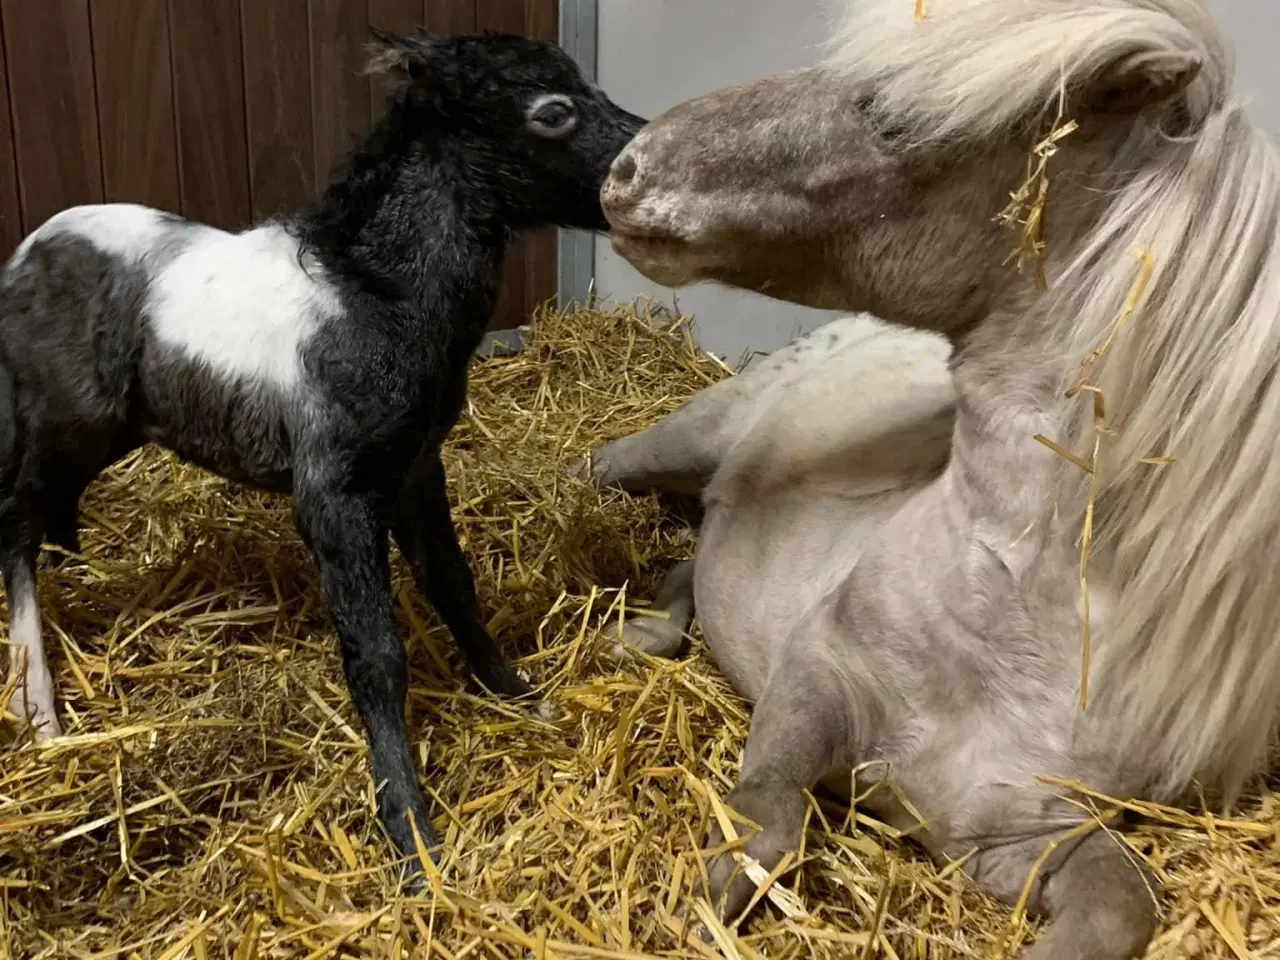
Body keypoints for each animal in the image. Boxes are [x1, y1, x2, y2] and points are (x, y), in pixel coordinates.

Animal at [0, 28, 640, 870]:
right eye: (553, 111)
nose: (648, 163)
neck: (372, 298)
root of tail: (23, 256)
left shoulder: (415, 467)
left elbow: (454, 585)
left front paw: (519, 694)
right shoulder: (335, 495)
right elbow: (377, 654)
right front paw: (411, 833)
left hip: (103, 431)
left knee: (50, 513)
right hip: (63, 421)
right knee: (13, 522)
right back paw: (39, 710)